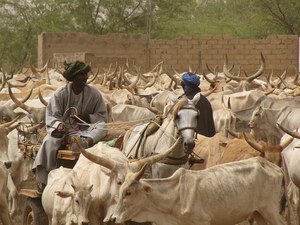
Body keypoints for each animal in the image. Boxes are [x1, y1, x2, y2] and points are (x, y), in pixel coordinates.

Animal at [112, 156, 286, 225]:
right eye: (120, 189)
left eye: (128, 192)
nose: (113, 218)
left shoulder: (202, 221)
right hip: (258, 213)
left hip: (270, 209)